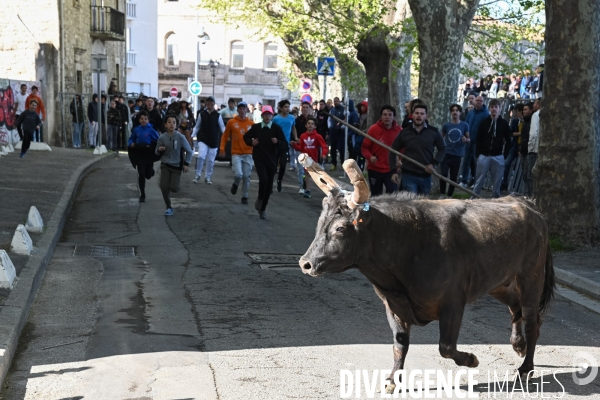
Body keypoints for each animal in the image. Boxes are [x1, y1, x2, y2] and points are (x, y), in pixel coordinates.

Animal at [298, 155, 556, 386]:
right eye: (320, 222)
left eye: (341, 228)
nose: (305, 263)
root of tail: (527, 203)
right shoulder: (393, 305)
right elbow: (399, 344)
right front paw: (393, 379)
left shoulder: (453, 302)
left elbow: (446, 347)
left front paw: (471, 360)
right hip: (499, 281)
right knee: (516, 306)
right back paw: (518, 345)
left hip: (531, 277)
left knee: (532, 320)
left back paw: (526, 368)